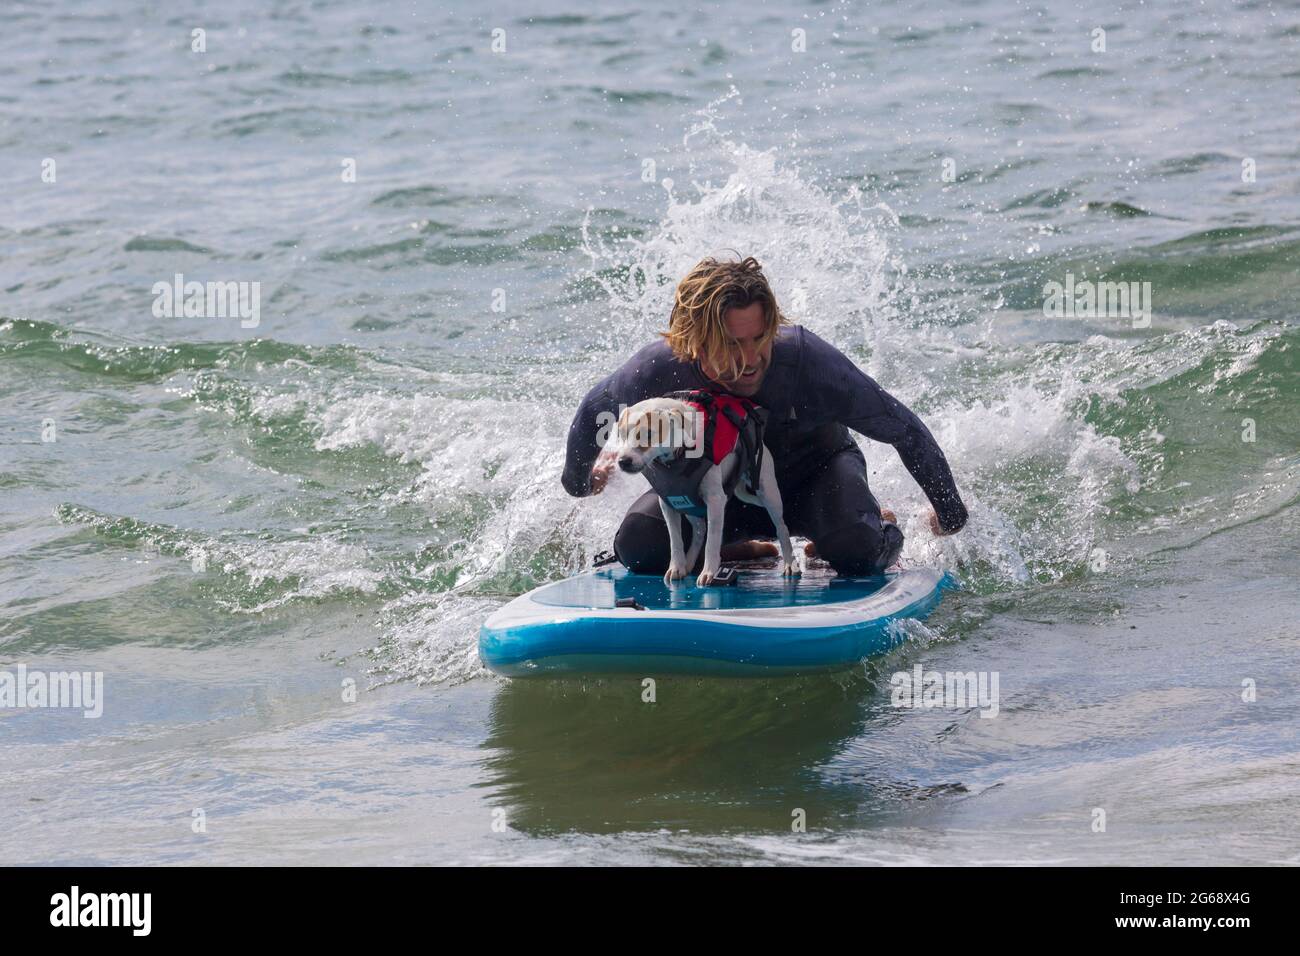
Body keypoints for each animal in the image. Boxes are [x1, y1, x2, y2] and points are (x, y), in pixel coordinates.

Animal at [611, 392, 795, 587]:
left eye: (647, 433)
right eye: (621, 435)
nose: (623, 461)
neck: (678, 456)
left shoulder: (715, 501)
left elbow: (712, 541)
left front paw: (709, 572)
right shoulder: (669, 503)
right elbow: (675, 540)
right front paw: (676, 567)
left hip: (768, 490)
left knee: (781, 527)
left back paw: (790, 563)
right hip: (690, 505)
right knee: (699, 530)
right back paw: (688, 562)